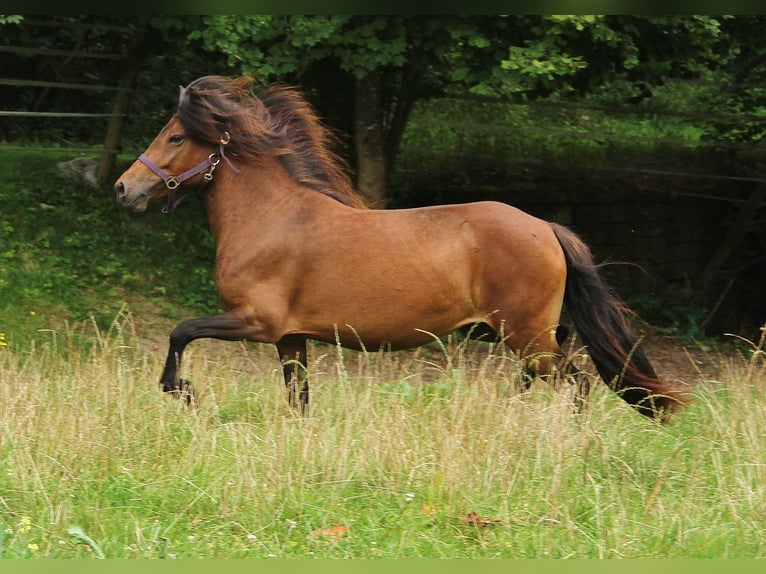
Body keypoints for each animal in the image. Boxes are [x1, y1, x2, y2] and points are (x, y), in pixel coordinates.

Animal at [114, 74, 688, 420]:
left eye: (175, 137)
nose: (124, 189)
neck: (271, 217)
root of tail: (546, 227)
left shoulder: (257, 322)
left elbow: (181, 331)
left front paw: (182, 391)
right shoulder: (291, 339)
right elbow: (298, 399)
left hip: (528, 337)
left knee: (576, 385)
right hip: (528, 335)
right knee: (549, 378)